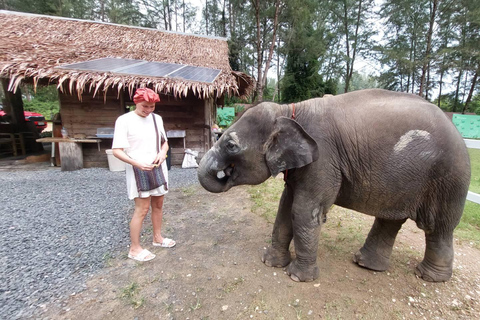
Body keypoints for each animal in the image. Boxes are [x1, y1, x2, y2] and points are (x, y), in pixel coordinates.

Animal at [197, 89, 470, 282]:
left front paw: (297, 277)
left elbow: (303, 210)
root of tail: (458, 132)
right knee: (391, 219)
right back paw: (365, 264)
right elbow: (286, 206)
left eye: (231, 145)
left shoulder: (324, 159)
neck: (290, 110)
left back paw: (428, 277)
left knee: (438, 227)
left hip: (448, 181)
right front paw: (270, 262)